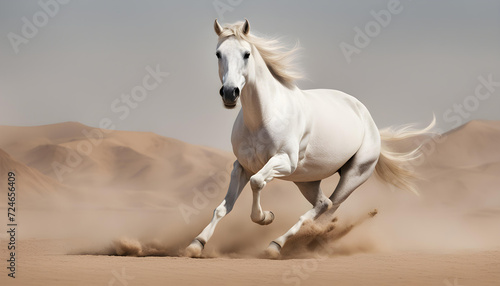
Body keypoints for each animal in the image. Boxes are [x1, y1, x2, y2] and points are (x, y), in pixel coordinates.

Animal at [186, 19, 432, 258]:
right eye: (218, 53)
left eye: (246, 53)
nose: (230, 93)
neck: (264, 116)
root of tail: (369, 121)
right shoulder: (242, 166)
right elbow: (223, 207)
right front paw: (196, 244)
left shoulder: (284, 161)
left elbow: (257, 182)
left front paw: (266, 217)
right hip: (306, 180)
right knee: (324, 204)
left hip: (353, 175)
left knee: (326, 210)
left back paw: (281, 245)